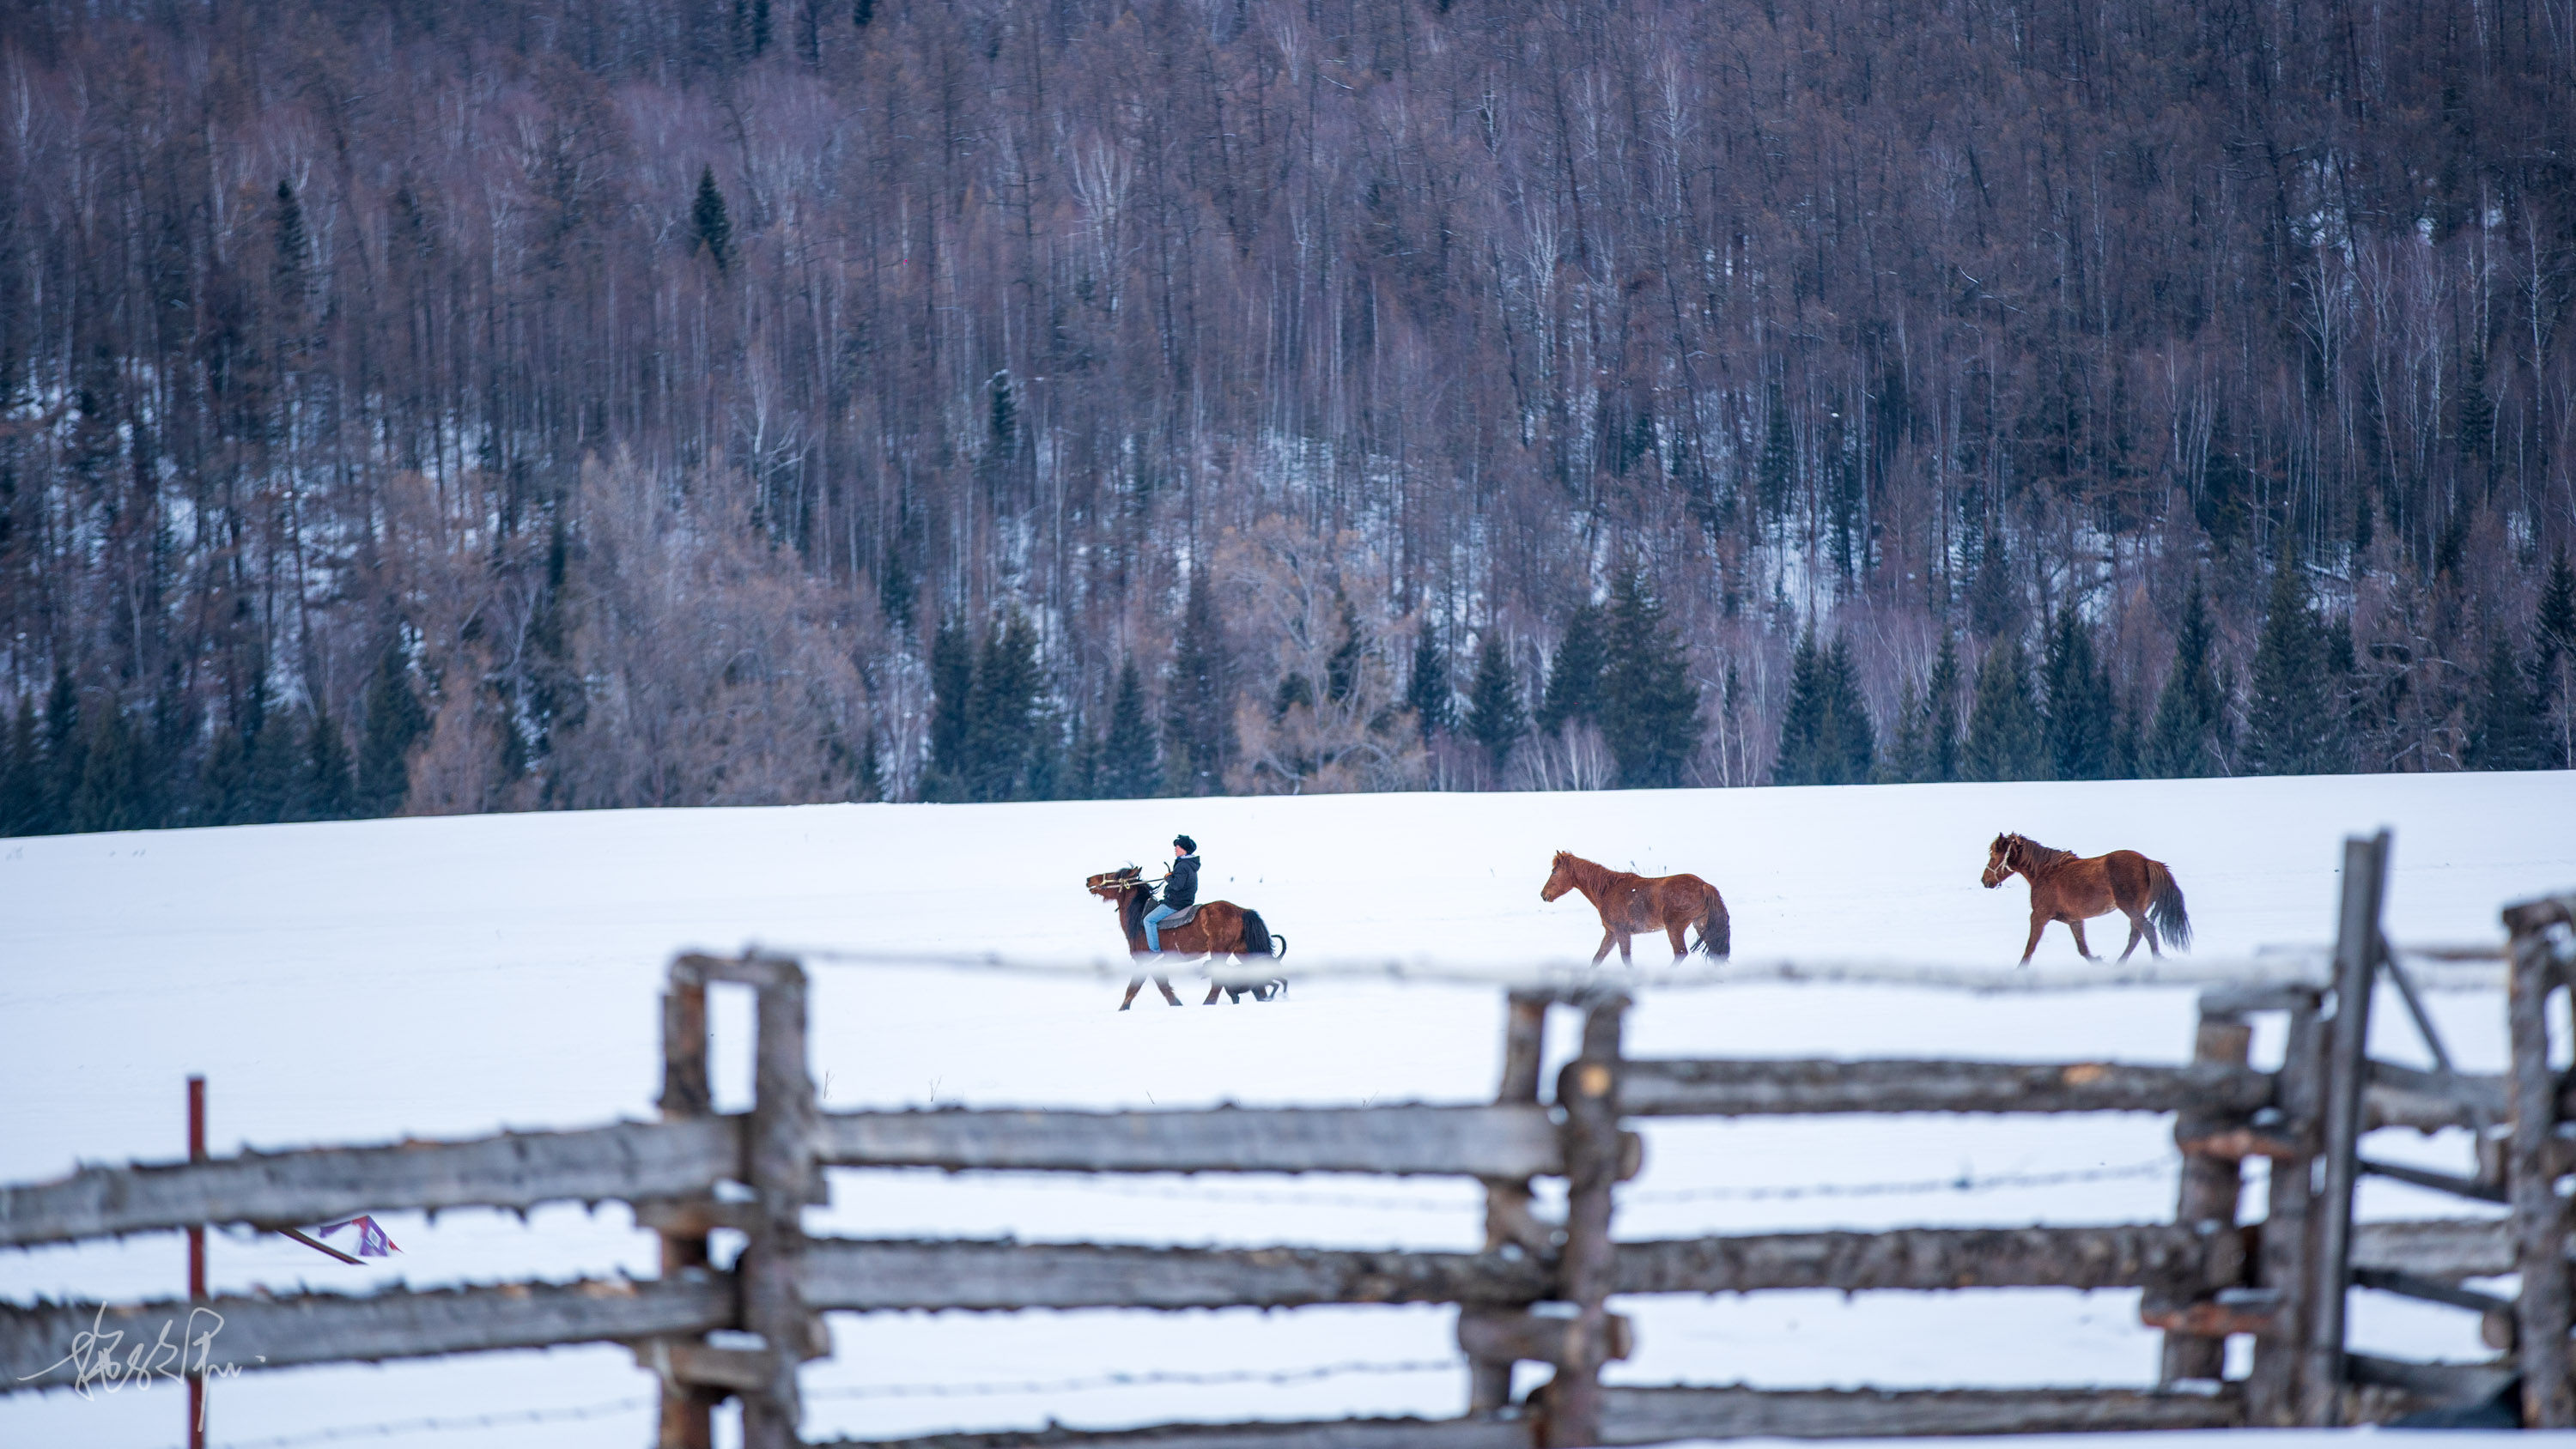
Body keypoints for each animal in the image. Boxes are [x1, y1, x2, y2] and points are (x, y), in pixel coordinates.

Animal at [1082, 875, 1288, 1009]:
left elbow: (1133, 988)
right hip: (1242, 951)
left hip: (1220, 952)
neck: (1140, 917)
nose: (1089, 880)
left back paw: (1208, 1004)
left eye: (1114, 875)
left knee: (1218, 984)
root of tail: (1242, 911)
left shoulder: (1145, 960)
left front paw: (1123, 1009)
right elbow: (1163, 987)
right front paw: (1177, 1004)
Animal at [1546, 849, 1731, 962]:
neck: (1607, 890)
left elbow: (1625, 958)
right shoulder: (1611, 933)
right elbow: (1598, 958)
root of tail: (1704, 885)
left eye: (1554, 872)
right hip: (1700, 924)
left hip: (1675, 927)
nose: (1543, 894)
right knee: (1715, 950)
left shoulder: (1622, 932)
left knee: (1680, 953)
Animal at [1978, 834, 2184, 967]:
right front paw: (2100, 963)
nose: (1985, 881)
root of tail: (2147, 862)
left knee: (2147, 932)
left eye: (1993, 855)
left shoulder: (2039, 916)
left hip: (2131, 909)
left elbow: (2030, 948)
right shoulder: (2074, 920)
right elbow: (2083, 949)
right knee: (2136, 935)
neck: (2045, 873)